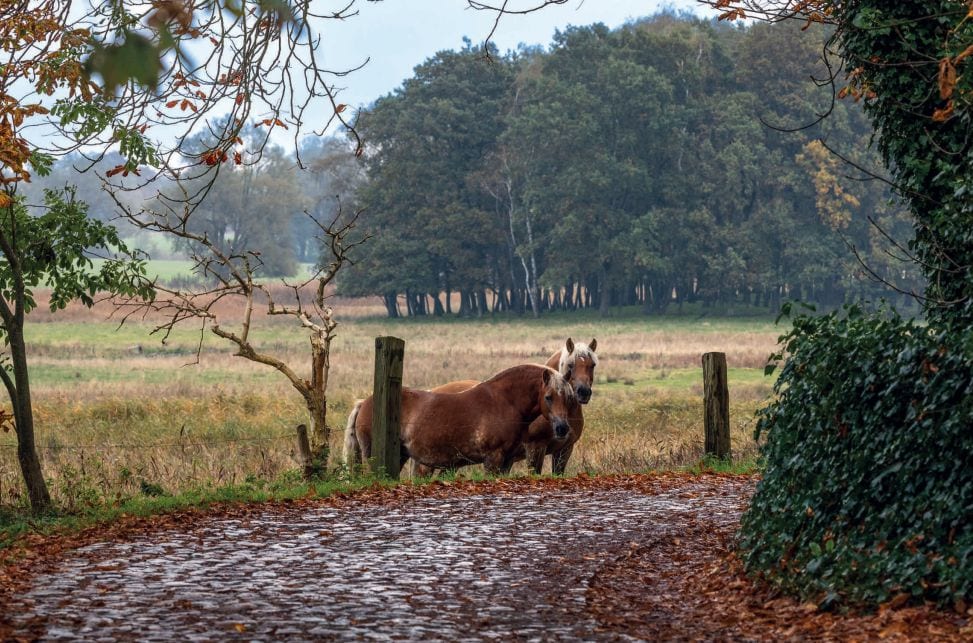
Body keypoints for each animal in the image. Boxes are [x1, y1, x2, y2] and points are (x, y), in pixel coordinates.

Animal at [344, 364, 576, 476]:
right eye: (548, 397)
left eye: (568, 396)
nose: (562, 428)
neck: (503, 401)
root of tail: (364, 403)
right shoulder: (493, 459)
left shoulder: (506, 461)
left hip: (399, 456)